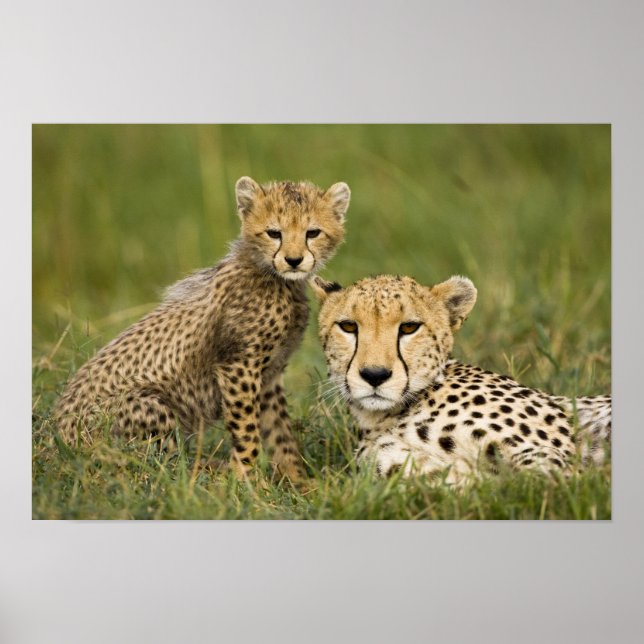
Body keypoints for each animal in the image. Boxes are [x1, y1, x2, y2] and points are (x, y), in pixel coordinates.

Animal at [53, 176, 351, 483]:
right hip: (149, 404)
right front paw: (248, 482)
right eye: (273, 233)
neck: (274, 278)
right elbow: (247, 431)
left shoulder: (269, 374)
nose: (293, 260)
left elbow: (280, 433)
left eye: (312, 232)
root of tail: (55, 437)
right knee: (160, 467)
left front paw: (297, 481)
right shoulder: (238, 367)